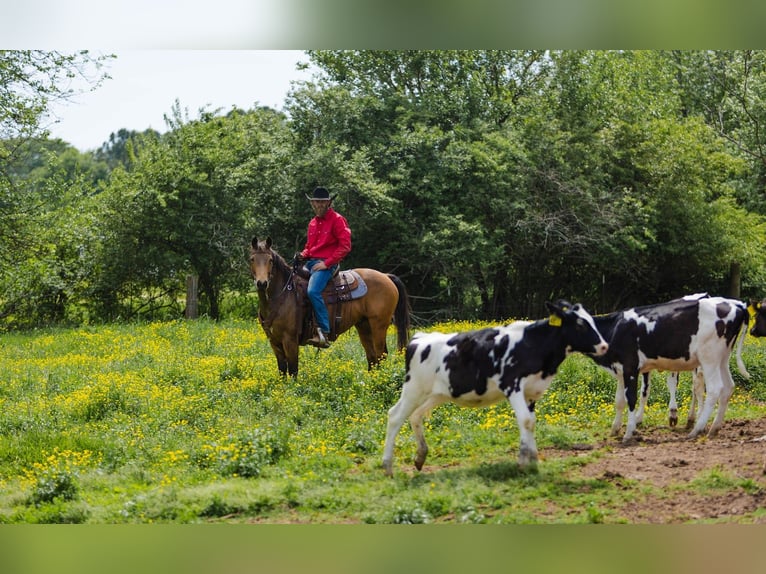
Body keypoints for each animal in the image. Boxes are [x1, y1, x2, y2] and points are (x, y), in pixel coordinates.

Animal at [249, 237, 411, 376]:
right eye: (252, 259)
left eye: (270, 260)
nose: (262, 283)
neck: (283, 295)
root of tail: (386, 276)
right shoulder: (274, 342)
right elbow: (282, 371)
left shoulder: (290, 340)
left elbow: (293, 371)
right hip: (364, 326)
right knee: (372, 358)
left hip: (379, 325)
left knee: (381, 355)